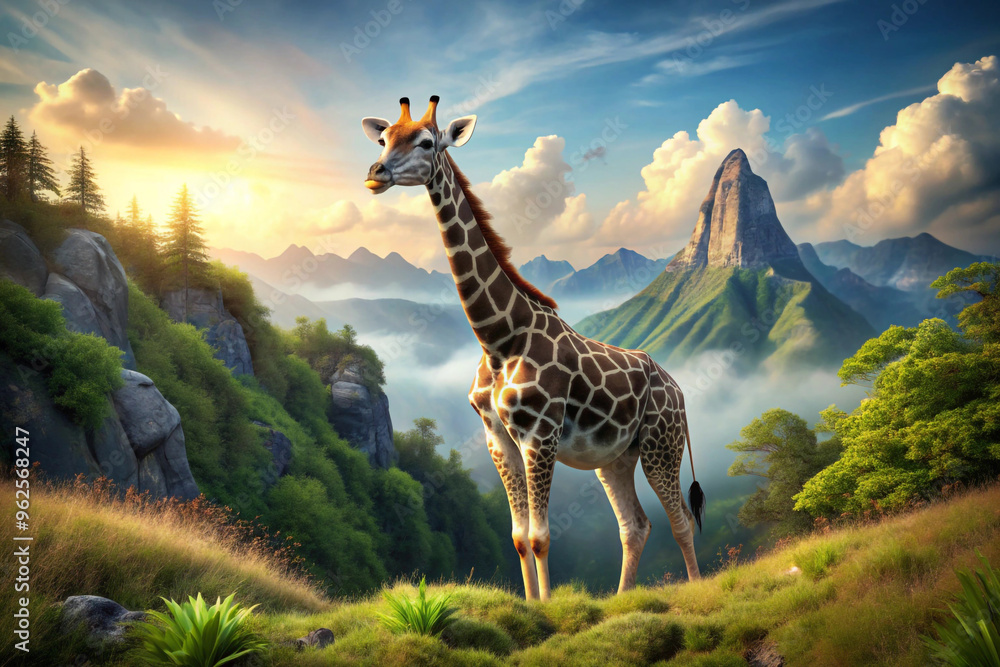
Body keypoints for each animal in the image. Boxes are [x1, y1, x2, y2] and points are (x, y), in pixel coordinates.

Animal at [362, 97, 705, 600]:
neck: (499, 338)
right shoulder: (498, 437)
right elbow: (519, 538)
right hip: (616, 457)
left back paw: (698, 588)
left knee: (680, 519)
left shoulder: (539, 434)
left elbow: (541, 537)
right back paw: (622, 598)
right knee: (635, 525)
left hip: (663, 444)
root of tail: (679, 391)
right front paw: (530, 605)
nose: (375, 172)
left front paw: (547, 606)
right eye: (384, 139)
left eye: (425, 142)